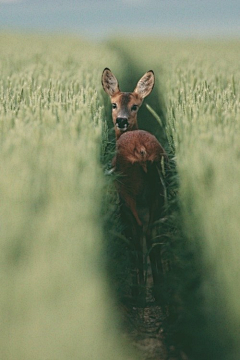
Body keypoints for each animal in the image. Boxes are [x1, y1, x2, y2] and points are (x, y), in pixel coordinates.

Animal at [113, 130, 168, 300]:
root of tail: (140, 150)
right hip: (158, 191)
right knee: (151, 231)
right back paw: (158, 286)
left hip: (127, 193)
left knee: (137, 232)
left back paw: (139, 289)